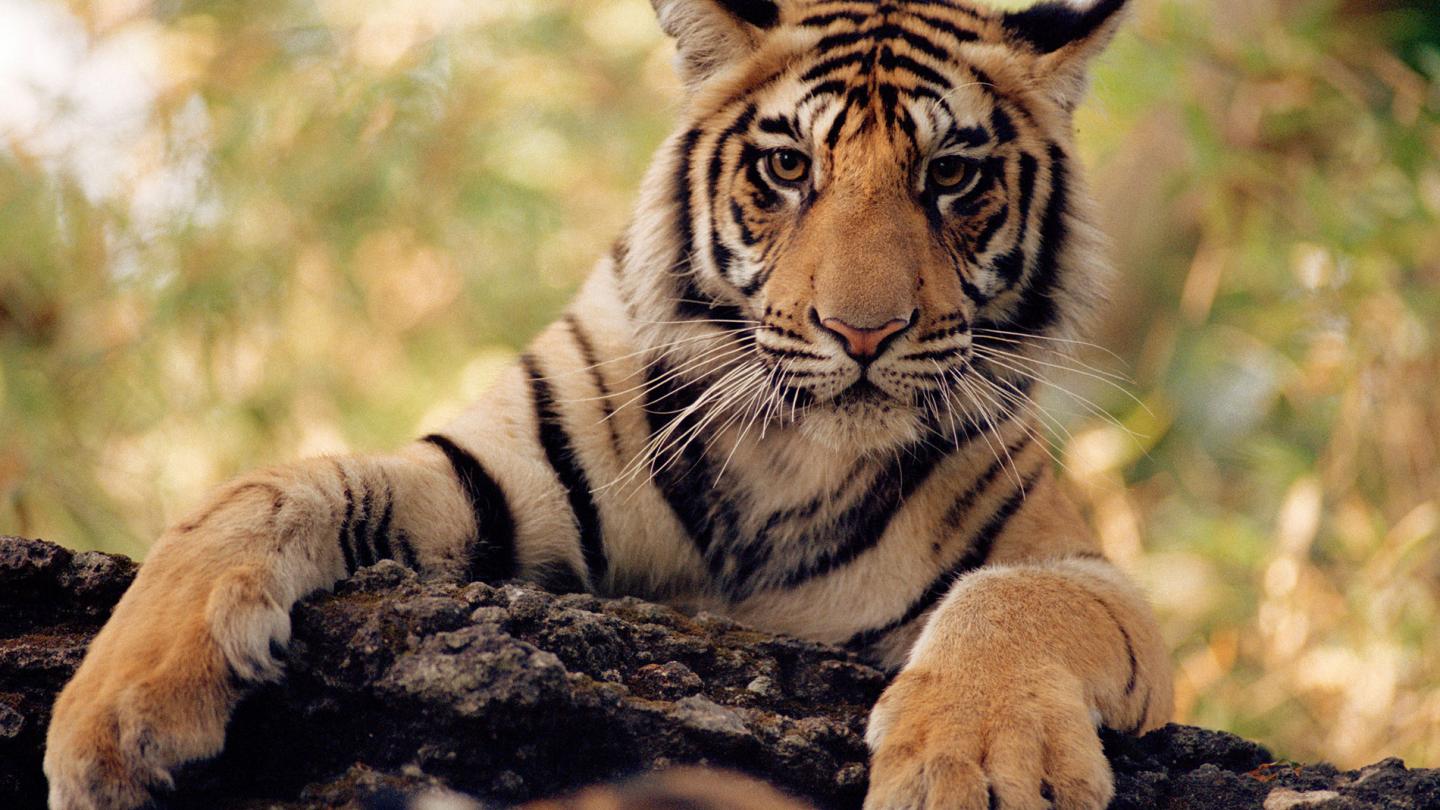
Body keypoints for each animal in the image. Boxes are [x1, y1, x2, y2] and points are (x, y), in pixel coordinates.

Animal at [44, 0, 1173, 807]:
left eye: (951, 177)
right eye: (787, 166)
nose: (863, 333)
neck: (791, 453)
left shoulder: (1088, 575)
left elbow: (1014, 599)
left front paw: (975, 765)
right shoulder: (490, 481)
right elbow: (266, 490)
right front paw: (114, 713)